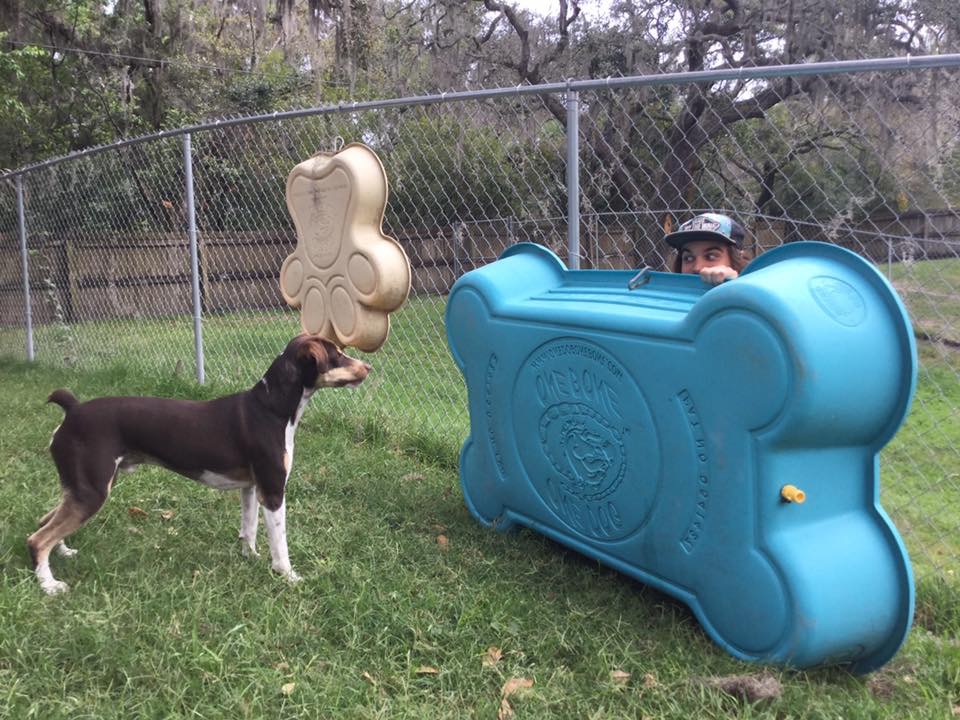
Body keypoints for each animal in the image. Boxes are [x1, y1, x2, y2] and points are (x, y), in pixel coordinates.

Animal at [28, 334, 370, 592]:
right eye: (338, 355)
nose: (368, 365)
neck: (271, 408)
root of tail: (72, 410)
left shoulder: (250, 488)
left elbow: (248, 529)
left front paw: (250, 558)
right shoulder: (273, 493)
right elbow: (280, 543)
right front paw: (287, 576)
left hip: (79, 488)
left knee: (46, 521)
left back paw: (63, 553)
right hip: (92, 492)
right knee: (37, 539)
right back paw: (50, 586)